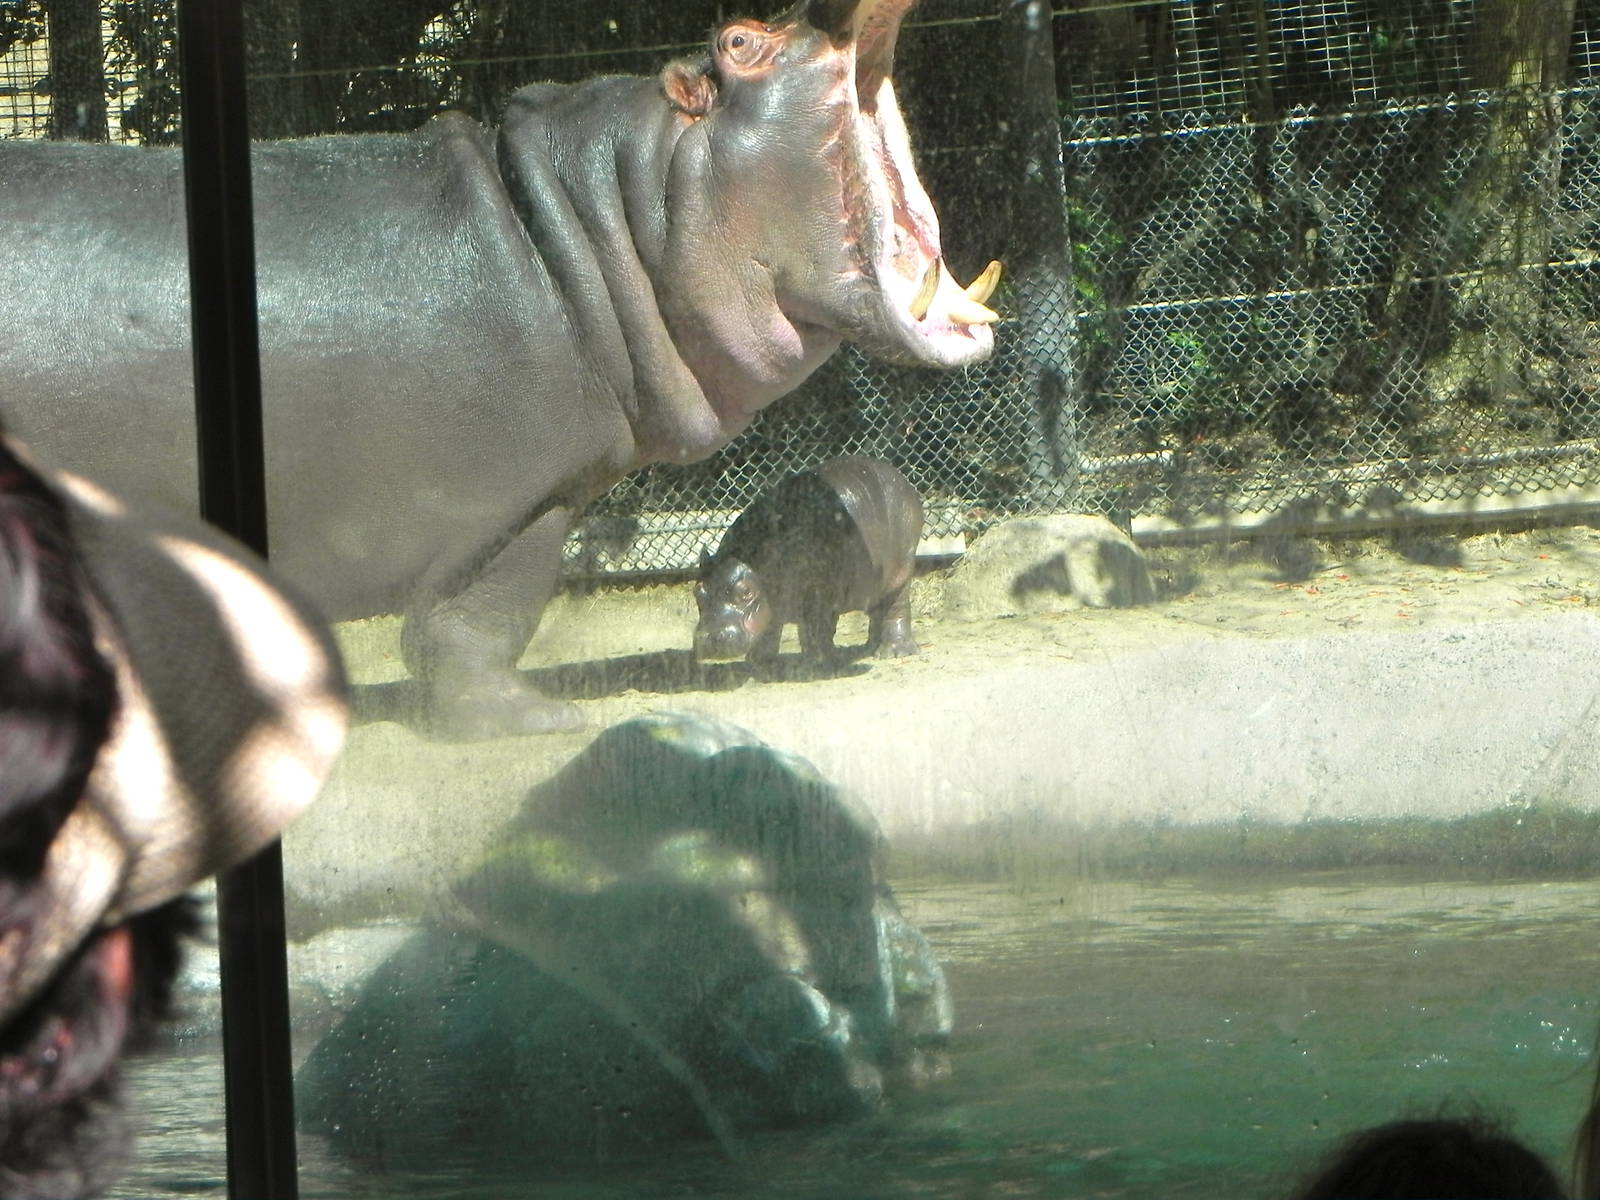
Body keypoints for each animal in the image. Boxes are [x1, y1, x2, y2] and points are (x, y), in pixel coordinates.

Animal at [694, 455, 924, 665]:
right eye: (698, 592)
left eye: (746, 592)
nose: (708, 639)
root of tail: (898, 476)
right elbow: (770, 628)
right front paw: (760, 661)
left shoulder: (818, 596)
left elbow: (814, 629)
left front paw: (816, 661)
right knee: (874, 612)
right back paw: (870, 648)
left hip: (900, 570)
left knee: (895, 607)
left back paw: (893, 651)